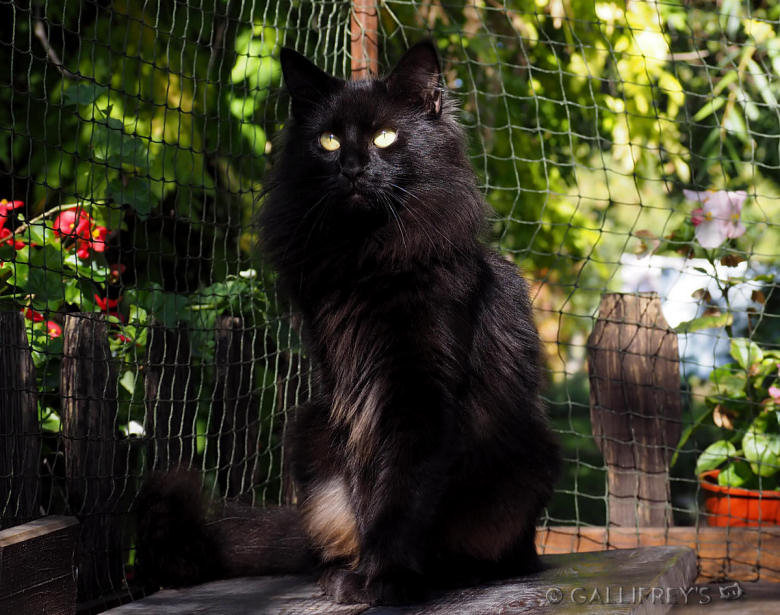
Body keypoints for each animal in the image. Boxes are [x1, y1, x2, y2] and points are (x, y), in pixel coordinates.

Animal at [136, 40, 560, 606]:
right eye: (329, 140)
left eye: (384, 136)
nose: (353, 167)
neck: (367, 262)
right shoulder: (349, 388)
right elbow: (368, 492)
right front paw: (368, 576)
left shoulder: (419, 392)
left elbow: (400, 492)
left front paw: (384, 578)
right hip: (311, 427)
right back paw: (339, 569)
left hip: (529, 458)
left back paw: (451, 572)